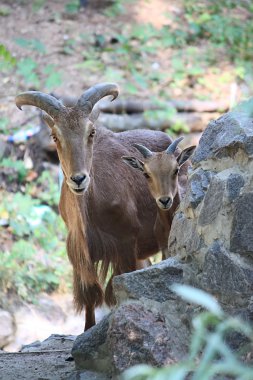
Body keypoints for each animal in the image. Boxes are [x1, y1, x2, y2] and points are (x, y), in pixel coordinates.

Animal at [16, 82, 186, 330]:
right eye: (55, 136)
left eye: (91, 132)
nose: (78, 179)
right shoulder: (79, 253)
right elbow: (90, 295)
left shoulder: (125, 245)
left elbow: (117, 290)